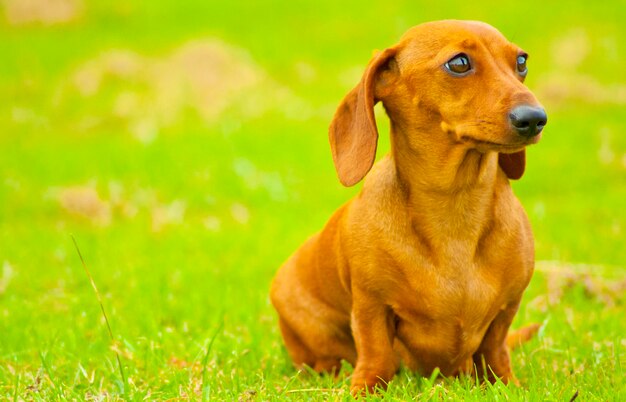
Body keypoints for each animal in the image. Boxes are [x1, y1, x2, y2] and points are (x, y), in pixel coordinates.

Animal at [270, 20, 544, 394]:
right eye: (459, 63)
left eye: (521, 62)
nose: (535, 118)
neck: (455, 207)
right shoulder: (371, 305)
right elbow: (376, 353)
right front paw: (363, 389)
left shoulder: (508, 307)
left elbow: (495, 349)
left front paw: (507, 385)